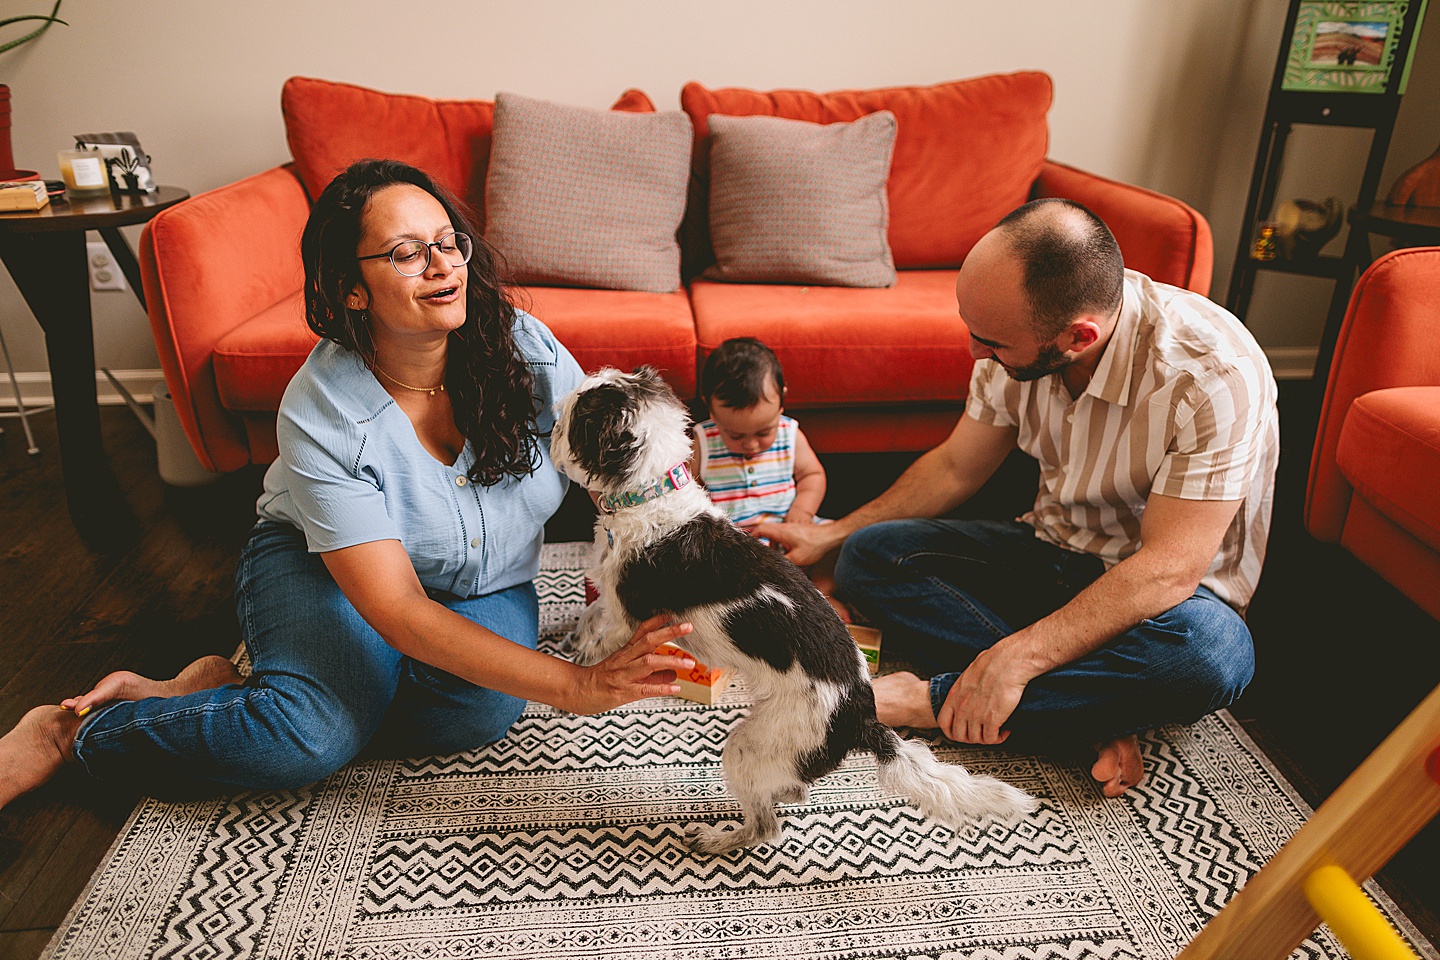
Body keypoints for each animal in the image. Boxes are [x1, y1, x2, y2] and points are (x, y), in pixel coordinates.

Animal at [550, 368, 1036, 857]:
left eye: (568, 421)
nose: (548, 428)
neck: (651, 494)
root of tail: (862, 717)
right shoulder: (611, 598)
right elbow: (592, 613)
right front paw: (575, 637)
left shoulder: (631, 618)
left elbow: (605, 638)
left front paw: (584, 662)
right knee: (794, 790)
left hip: (754, 745)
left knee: (766, 825)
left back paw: (718, 839)